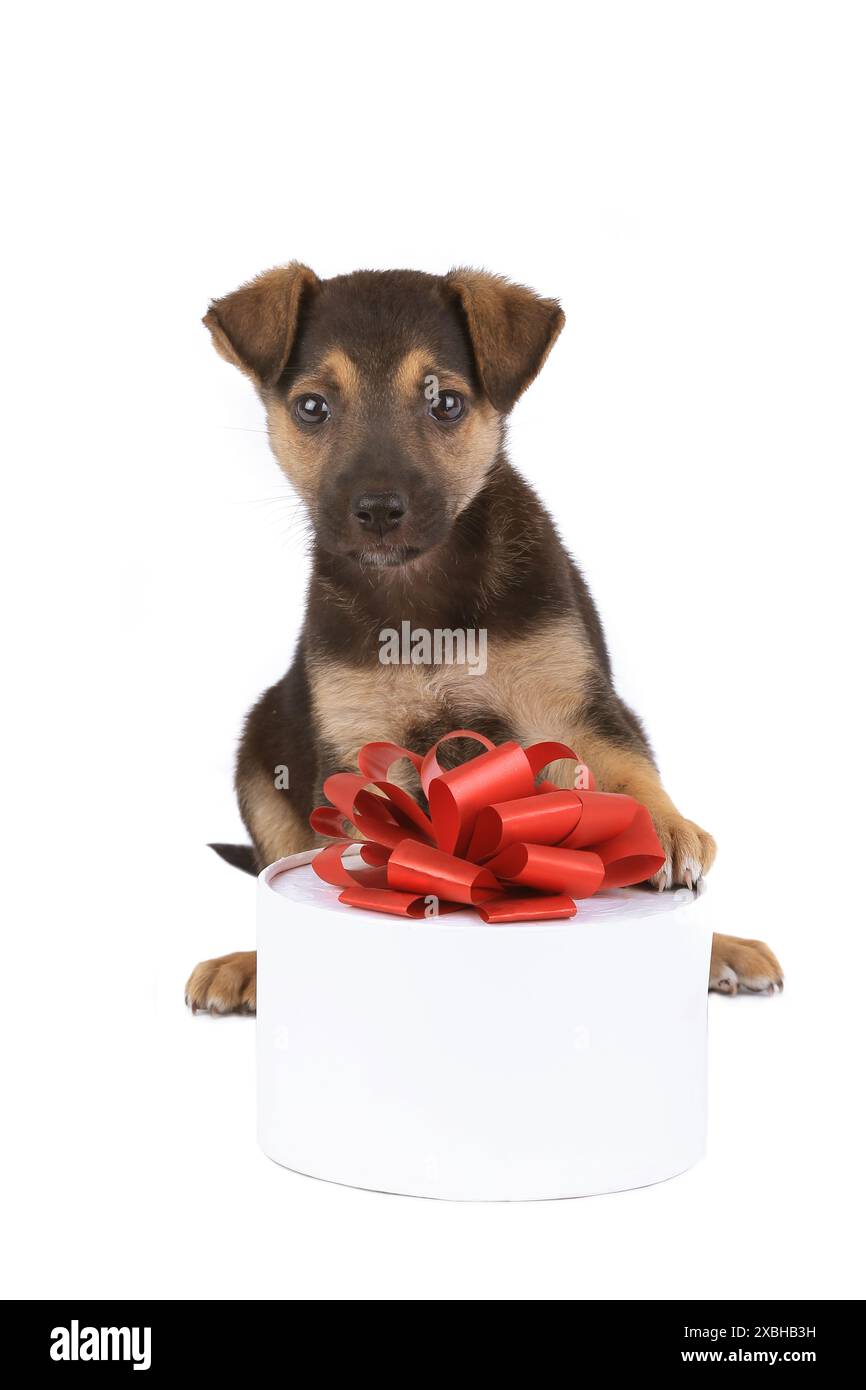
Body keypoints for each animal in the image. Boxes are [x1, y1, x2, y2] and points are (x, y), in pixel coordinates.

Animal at [186, 265, 783, 1017]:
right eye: (313, 408)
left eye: (446, 405)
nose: (378, 510)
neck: (423, 598)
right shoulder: (359, 747)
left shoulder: (572, 711)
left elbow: (629, 774)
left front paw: (661, 829)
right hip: (258, 753)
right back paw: (251, 966)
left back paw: (721, 949)